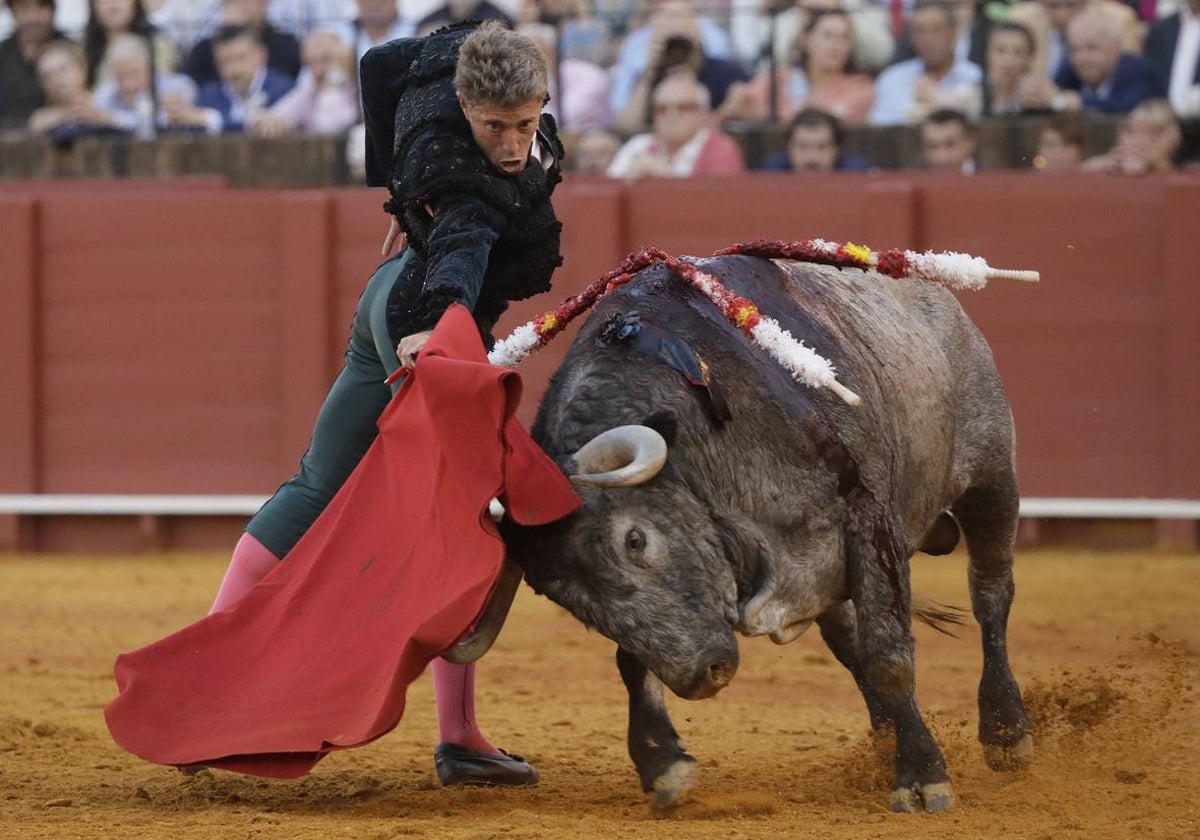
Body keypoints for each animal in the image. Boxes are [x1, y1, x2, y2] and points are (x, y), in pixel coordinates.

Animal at [499, 250, 1041, 816]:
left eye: (635, 540)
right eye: (567, 600)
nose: (705, 673)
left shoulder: (870, 520)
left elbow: (889, 655)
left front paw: (921, 776)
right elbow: (632, 660)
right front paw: (662, 762)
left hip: (991, 477)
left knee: (990, 594)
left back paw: (1006, 733)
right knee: (846, 637)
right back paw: (885, 740)